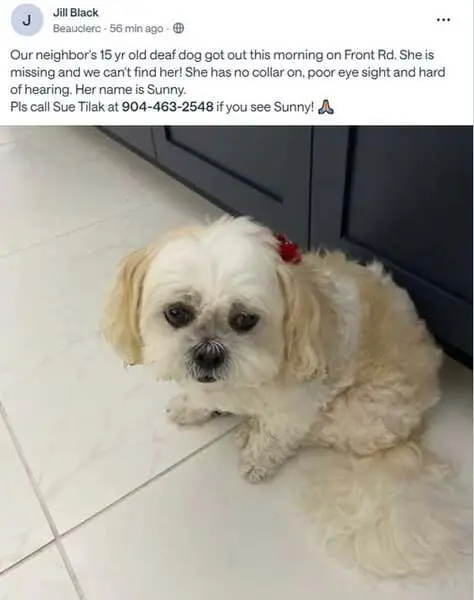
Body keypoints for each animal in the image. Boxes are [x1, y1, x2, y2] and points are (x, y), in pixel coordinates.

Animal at [103, 216, 471, 578]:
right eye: (177, 313)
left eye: (245, 319)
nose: (208, 353)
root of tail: (417, 427)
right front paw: (194, 406)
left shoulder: (299, 406)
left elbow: (275, 437)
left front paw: (256, 456)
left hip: (356, 413)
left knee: (318, 434)